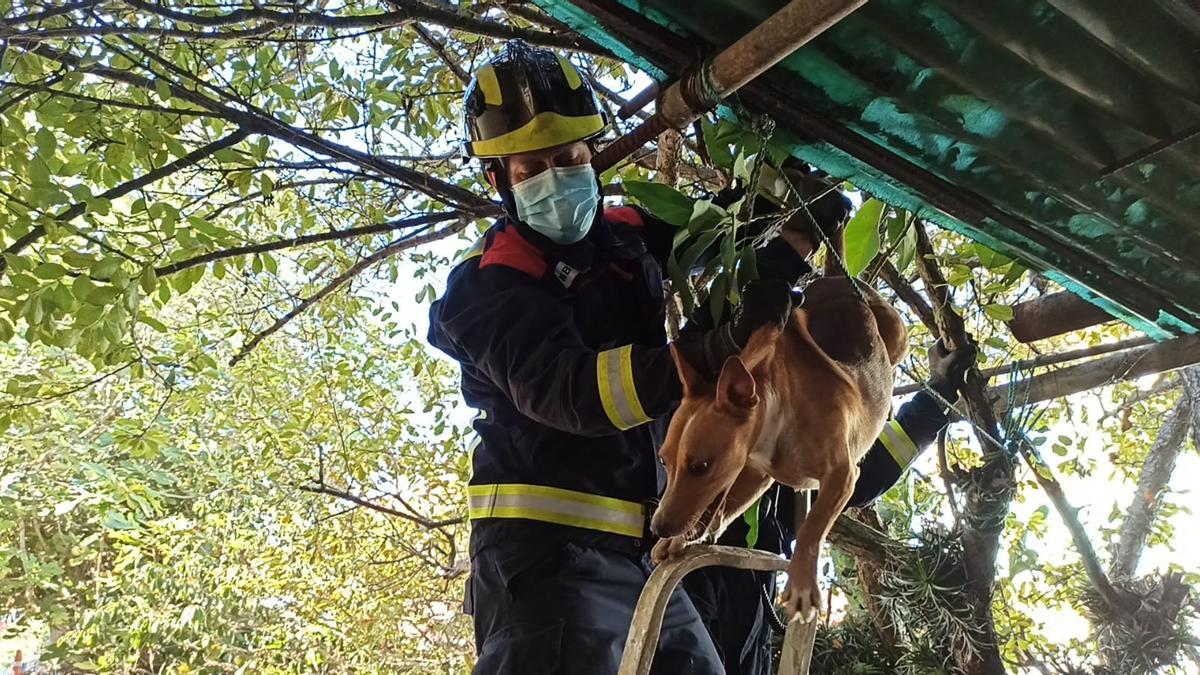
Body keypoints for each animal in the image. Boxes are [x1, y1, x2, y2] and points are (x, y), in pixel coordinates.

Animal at [652, 241, 902, 619]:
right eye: (664, 462)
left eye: (700, 466)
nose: (658, 527)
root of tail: (836, 277)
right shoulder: (757, 473)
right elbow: (726, 508)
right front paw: (679, 540)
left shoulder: (843, 475)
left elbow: (813, 528)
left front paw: (801, 583)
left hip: (897, 334)